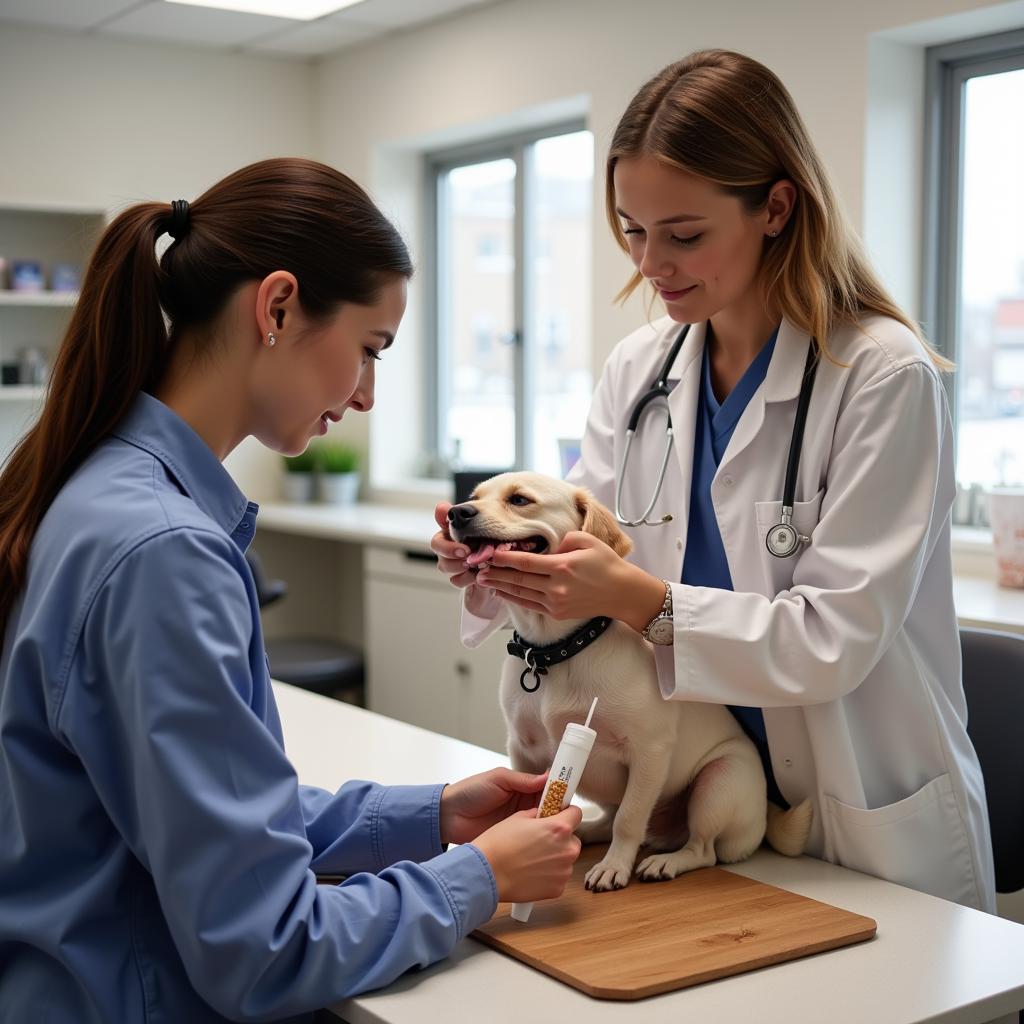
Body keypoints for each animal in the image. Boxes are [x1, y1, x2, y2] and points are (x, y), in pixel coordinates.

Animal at [446, 468, 806, 888]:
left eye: (519, 500)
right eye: (474, 497)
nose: (456, 512)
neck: (558, 651)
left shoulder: (649, 751)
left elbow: (630, 819)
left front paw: (614, 867)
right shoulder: (522, 750)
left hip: (719, 783)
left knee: (702, 849)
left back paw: (666, 862)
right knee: (611, 820)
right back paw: (585, 830)